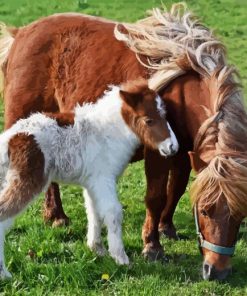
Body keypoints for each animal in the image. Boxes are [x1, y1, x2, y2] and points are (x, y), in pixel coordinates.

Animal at [0, 2, 247, 280]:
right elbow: (155, 196)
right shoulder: (158, 152)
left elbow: (177, 188)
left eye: (241, 216)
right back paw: (56, 216)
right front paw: (152, 246)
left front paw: (166, 227)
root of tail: (20, 34)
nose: (216, 271)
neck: (181, 88)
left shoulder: (184, 152)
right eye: (204, 210)